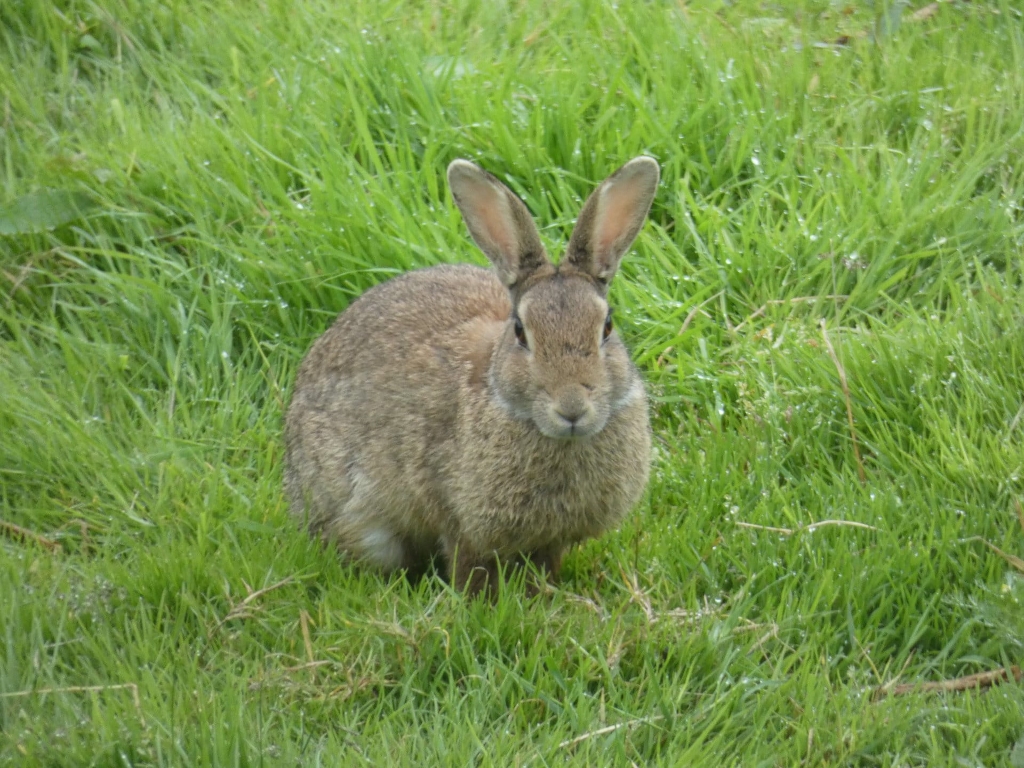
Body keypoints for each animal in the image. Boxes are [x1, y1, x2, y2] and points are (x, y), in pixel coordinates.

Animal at [284, 156, 659, 596]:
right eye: (520, 332)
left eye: (607, 328)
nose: (572, 409)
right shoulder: (459, 519)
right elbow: (468, 566)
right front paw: (479, 603)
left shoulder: (550, 541)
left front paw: (541, 597)